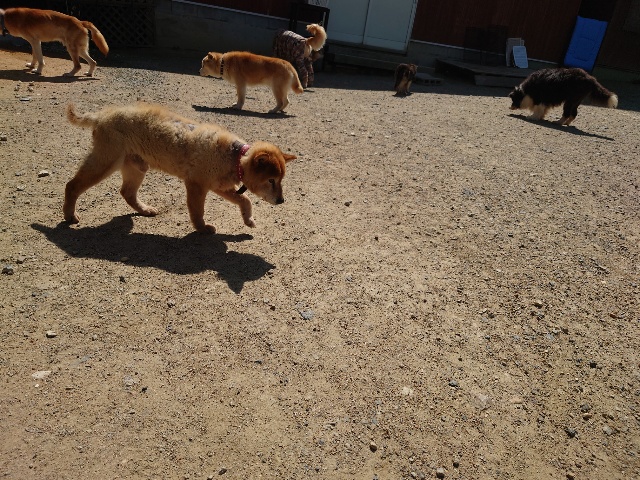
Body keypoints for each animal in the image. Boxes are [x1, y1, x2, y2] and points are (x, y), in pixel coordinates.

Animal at [63, 103, 296, 233]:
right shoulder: (196, 184)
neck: (234, 157)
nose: (282, 201)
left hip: (136, 168)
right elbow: (198, 211)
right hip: (105, 163)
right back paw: (69, 216)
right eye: (271, 180)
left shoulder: (220, 186)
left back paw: (145, 210)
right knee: (71, 185)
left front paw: (248, 220)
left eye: (280, 180)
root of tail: (100, 115)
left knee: (127, 192)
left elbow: (245, 199)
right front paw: (202, 229)